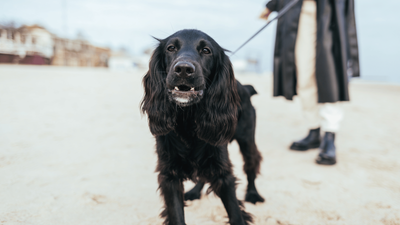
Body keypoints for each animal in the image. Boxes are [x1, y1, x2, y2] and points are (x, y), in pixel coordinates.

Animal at [141, 29, 262, 225]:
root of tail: (245, 87)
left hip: (247, 140)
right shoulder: (169, 174)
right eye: (171, 48)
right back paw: (195, 192)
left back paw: (253, 194)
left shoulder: (222, 172)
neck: (188, 120)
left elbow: (235, 212)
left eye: (206, 50)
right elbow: (176, 215)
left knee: (251, 164)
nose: (183, 69)